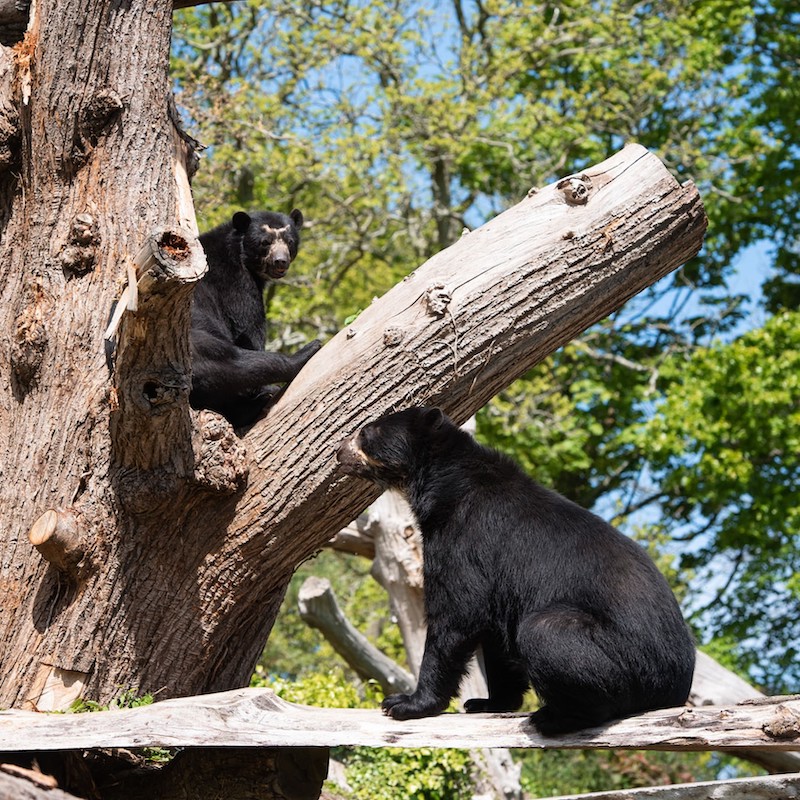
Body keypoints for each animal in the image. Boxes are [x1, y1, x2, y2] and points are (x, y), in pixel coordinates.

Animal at [189, 209, 320, 428]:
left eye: (290, 241)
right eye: (265, 242)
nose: (280, 261)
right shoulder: (238, 283)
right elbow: (249, 330)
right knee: (232, 361)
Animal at [336, 410, 692, 736]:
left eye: (367, 431)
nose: (339, 451)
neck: (443, 482)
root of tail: (677, 686)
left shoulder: (463, 536)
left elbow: (456, 613)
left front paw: (405, 703)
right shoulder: (498, 579)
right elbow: (496, 636)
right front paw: (489, 702)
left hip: (628, 662)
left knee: (546, 632)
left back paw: (554, 718)